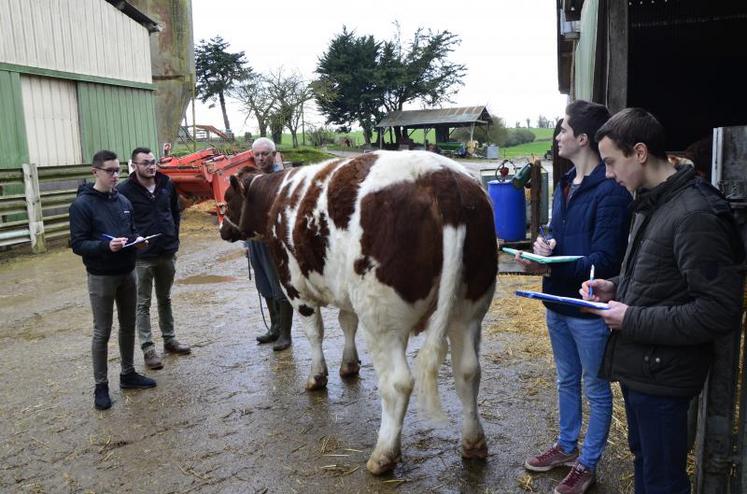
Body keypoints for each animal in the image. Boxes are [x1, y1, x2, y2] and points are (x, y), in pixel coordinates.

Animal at [224, 151, 502, 474]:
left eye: (228, 198)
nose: (222, 229)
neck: (279, 196)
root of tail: (439, 175)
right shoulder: (348, 293)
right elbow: (347, 323)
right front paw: (348, 365)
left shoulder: (295, 287)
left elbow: (315, 333)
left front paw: (317, 377)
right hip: (469, 309)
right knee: (467, 371)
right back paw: (473, 443)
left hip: (382, 318)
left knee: (398, 383)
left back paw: (383, 455)